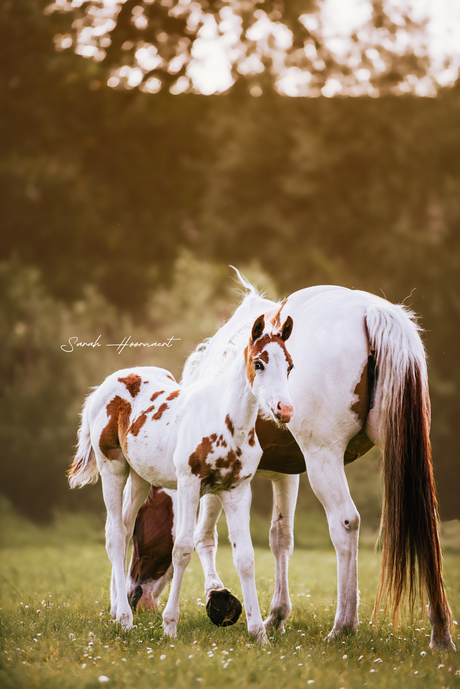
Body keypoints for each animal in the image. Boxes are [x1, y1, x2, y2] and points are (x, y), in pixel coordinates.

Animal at [68, 314, 292, 644]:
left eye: (289, 365)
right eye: (259, 363)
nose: (284, 409)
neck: (224, 420)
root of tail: (106, 385)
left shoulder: (237, 490)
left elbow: (246, 558)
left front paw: (258, 634)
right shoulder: (189, 484)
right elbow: (182, 549)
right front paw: (170, 625)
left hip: (139, 478)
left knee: (125, 529)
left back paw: (117, 609)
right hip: (113, 469)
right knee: (114, 535)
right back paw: (125, 619)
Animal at [124, 276, 454, 648]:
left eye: (141, 523)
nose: (134, 595)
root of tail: (372, 310)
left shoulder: (212, 472)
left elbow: (202, 534)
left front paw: (217, 596)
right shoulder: (286, 473)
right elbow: (280, 537)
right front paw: (276, 617)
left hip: (323, 457)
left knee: (345, 523)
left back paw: (343, 626)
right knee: (425, 525)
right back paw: (440, 632)